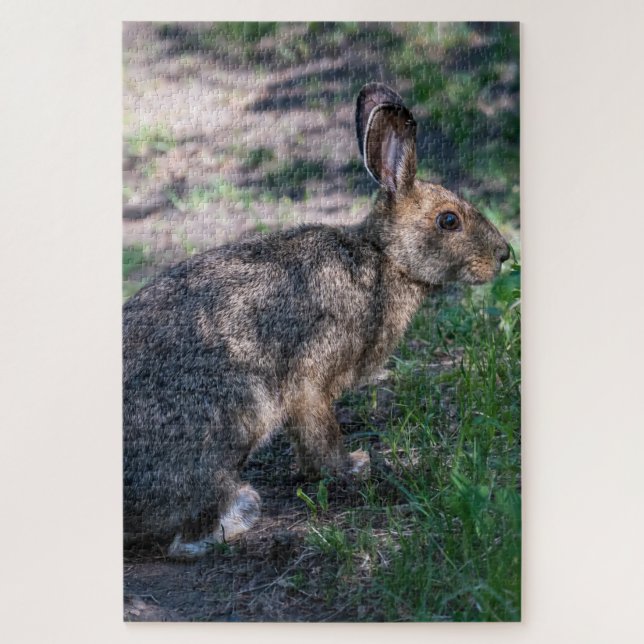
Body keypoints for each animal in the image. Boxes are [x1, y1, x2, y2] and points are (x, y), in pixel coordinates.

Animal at [123, 82, 511, 558]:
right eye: (449, 220)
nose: (504, 255)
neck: (383, 259)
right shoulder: (311, 377)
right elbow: (319, 432)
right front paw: (351, 467)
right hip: (228, 416)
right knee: (185, 534)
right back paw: (243, 510)